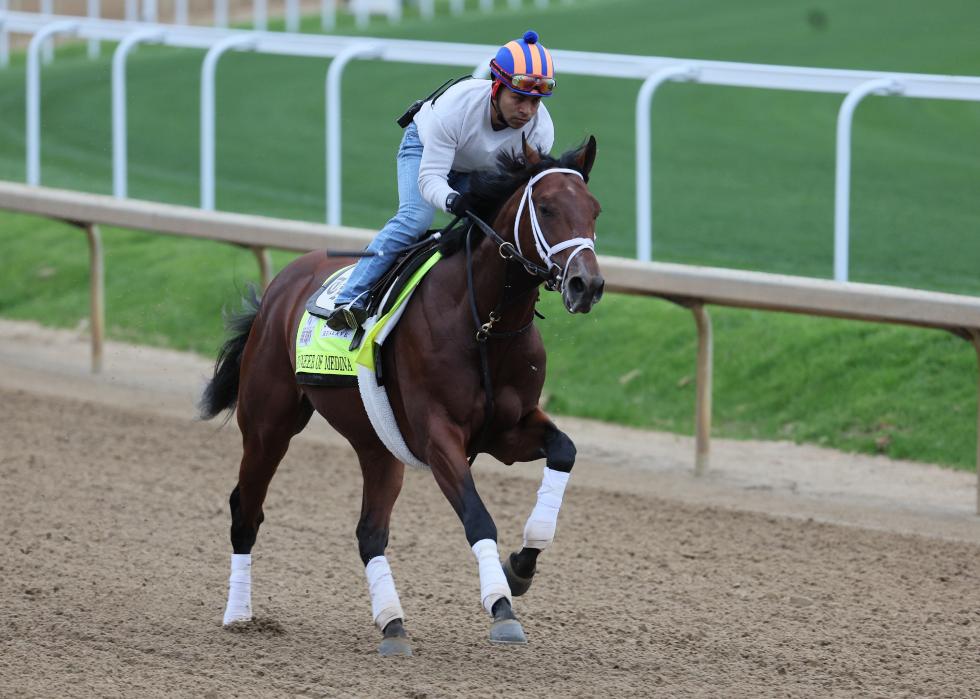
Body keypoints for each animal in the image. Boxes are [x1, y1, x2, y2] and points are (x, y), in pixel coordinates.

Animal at [201, 135, 604, 656]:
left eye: (594, 210)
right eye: (548, 207)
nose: (587, 284)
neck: (484, 324)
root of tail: (281, 284)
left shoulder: (508, 431)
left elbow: (565, 451)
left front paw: (520, 567)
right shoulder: (438, 436)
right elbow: (478, 517)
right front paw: (501, 607)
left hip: (377, 446)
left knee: (369, 534)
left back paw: (392, 623)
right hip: (268, 424)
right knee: (245, 510)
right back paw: (239, 615)